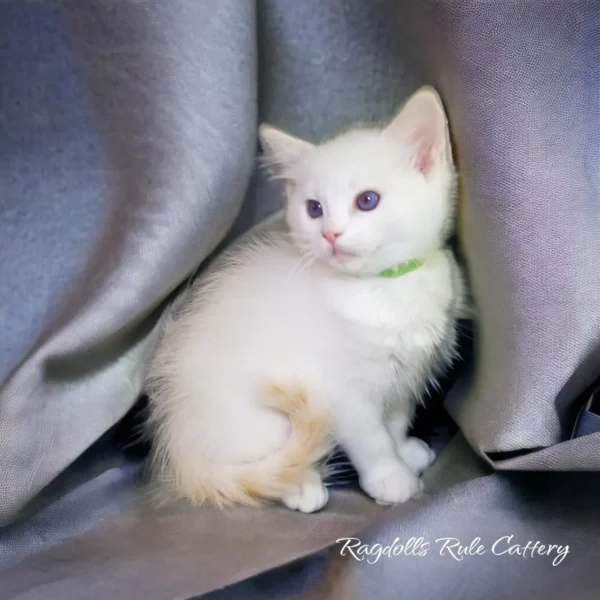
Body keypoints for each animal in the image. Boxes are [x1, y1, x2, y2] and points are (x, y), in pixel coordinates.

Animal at [146, 86, 468, 512]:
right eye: (314, 209)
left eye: (367, 200)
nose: (330, 233)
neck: (380, 288)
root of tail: (177, 446)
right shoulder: (342, 393)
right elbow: (373, 439)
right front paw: (391, 478)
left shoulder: (405, 375)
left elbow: (396, 421)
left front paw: (406, 452)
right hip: (263, 415)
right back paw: (301, 485)